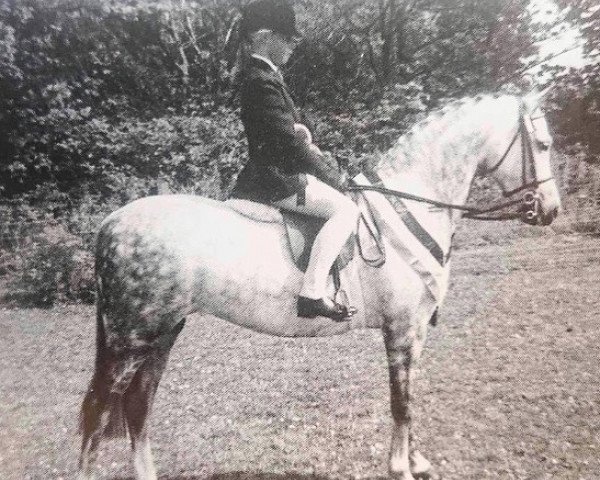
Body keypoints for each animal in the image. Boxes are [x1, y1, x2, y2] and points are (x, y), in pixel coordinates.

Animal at [77, 92, 560, 478]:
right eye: (542, 144)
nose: (551, 210)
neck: (409, 207)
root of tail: (110, 223)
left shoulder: (417, 329)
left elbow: (412, 395)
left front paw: (417, 461)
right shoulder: (401, 329)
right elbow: (400, 401)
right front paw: (400, 468)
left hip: (161, 335)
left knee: (138, 408)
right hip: (130, 340)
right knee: (98, 414)